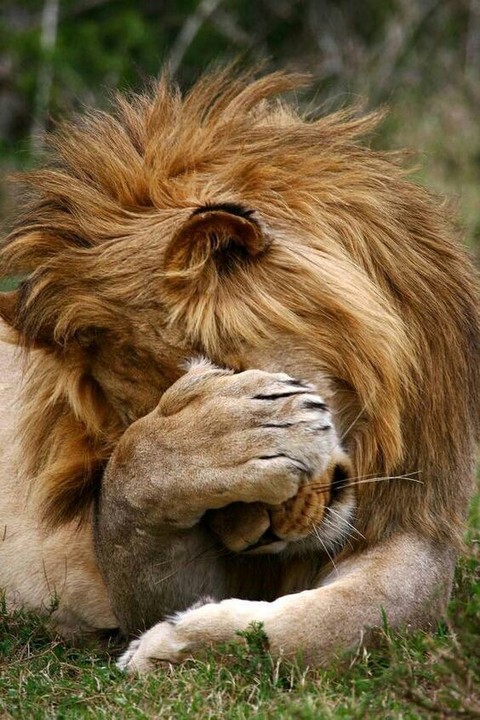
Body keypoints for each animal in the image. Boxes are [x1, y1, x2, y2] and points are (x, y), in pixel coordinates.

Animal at [0, 69, 478, 671]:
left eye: (227, 377)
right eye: (161, 410)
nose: (253, 541)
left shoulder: (418, 516)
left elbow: (350, 621)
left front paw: (175, 646)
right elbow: (134, 483)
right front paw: (170, 648)